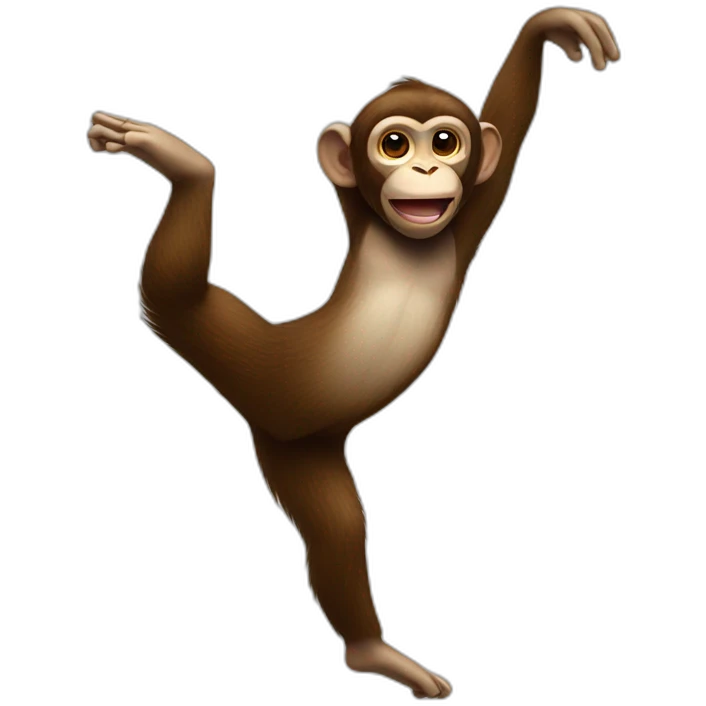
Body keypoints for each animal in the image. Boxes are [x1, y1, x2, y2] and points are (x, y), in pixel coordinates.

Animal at [89, 7, 620, 700]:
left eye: (445, 142)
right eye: (394, 144)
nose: (427, 171)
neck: (404, 239)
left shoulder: (469, 213)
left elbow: (507, 127)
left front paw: (548, 31)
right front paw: (552, 28)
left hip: (299, 445)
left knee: (336, 530)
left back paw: (373, 651)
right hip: (237, 348)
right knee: (177, 291)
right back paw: (183, 165)